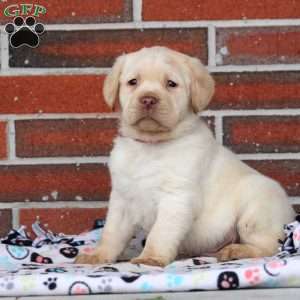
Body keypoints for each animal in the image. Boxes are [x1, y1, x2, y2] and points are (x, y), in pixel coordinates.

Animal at [75, 45, 296, 266]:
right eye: (133, 82)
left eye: (171, 84)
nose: (148, 99)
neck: (150, 146)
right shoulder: (122, 199)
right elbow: (111, 233)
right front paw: (97, 255)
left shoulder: (177, 198)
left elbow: (160, 233)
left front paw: (150, 258)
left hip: (256, 209)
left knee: (270, 246)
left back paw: (236, 251)